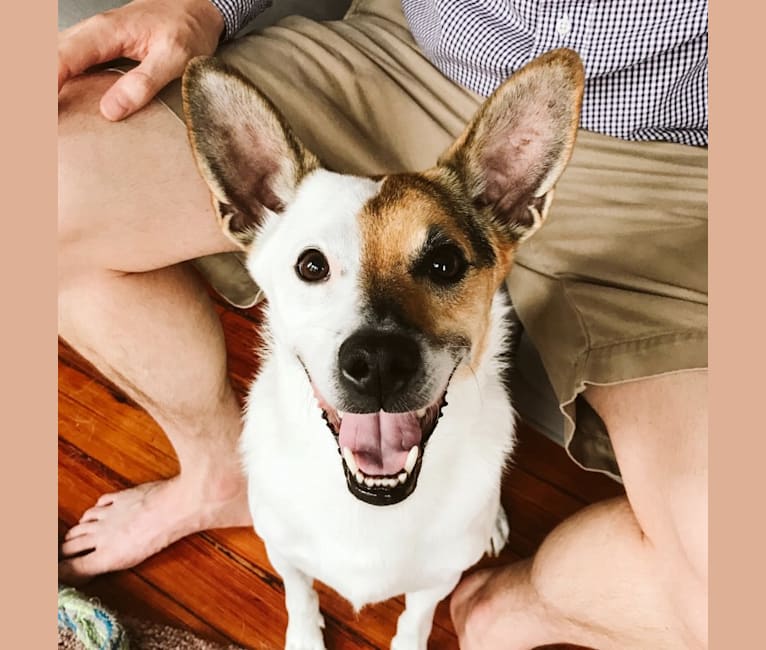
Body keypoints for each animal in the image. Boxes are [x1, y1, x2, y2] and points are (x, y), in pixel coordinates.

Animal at [183, 46, 584, 648]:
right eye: (311, 265)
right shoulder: (283, 552)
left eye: (445, 263)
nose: (376, 363)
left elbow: (415, 619)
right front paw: (305, 637)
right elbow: (299, 597)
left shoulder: (437, 579)